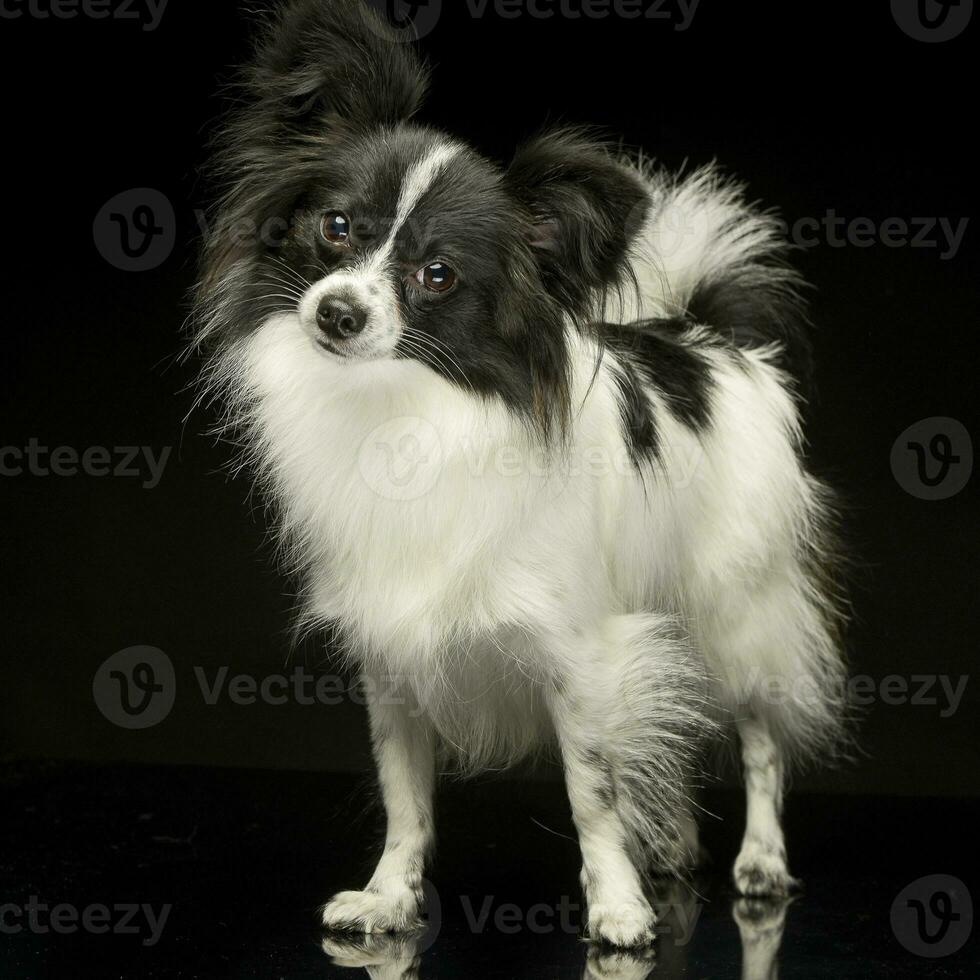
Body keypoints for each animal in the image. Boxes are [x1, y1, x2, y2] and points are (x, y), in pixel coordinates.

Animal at [189, 0, 844, 948]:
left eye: (437, 275)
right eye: (335, 227)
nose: (338, 312)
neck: (405, 408)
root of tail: (709, 340)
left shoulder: (581, 658)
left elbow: (593, 790)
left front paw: (617, 908)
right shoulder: (394, 661)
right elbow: (405, 797)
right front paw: (389, 898)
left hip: (734, 610)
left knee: (758, 736)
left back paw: (758, 861)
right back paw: (674, 846)